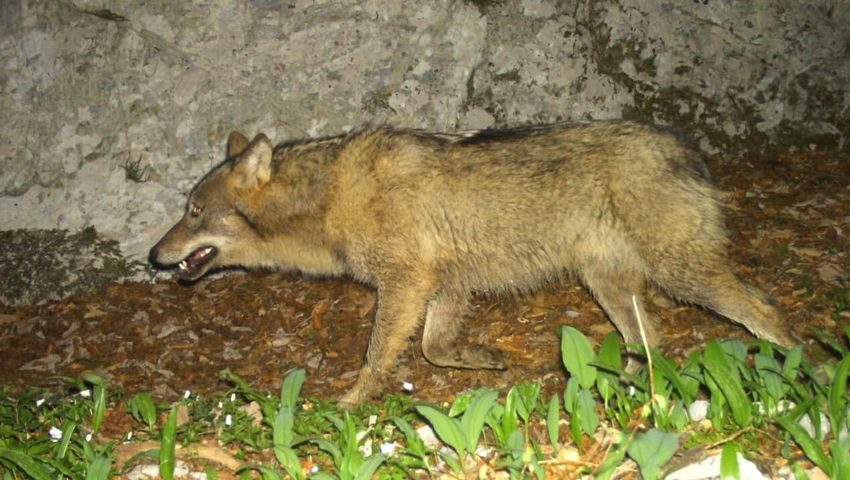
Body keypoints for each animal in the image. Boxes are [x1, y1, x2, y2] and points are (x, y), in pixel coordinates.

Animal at [147, 121, 796, 404]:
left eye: (194, 210)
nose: (153, 256)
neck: (329, 198)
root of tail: (687, 146)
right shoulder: (446, 288)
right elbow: (436, 349)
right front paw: (487, 361)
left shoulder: (406, 285)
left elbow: (376, 359)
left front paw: (350, 408)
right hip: (611, 286)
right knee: (650, 342)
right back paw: (628, 393)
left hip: (683, 277)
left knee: (768, 312)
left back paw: (800, 376)